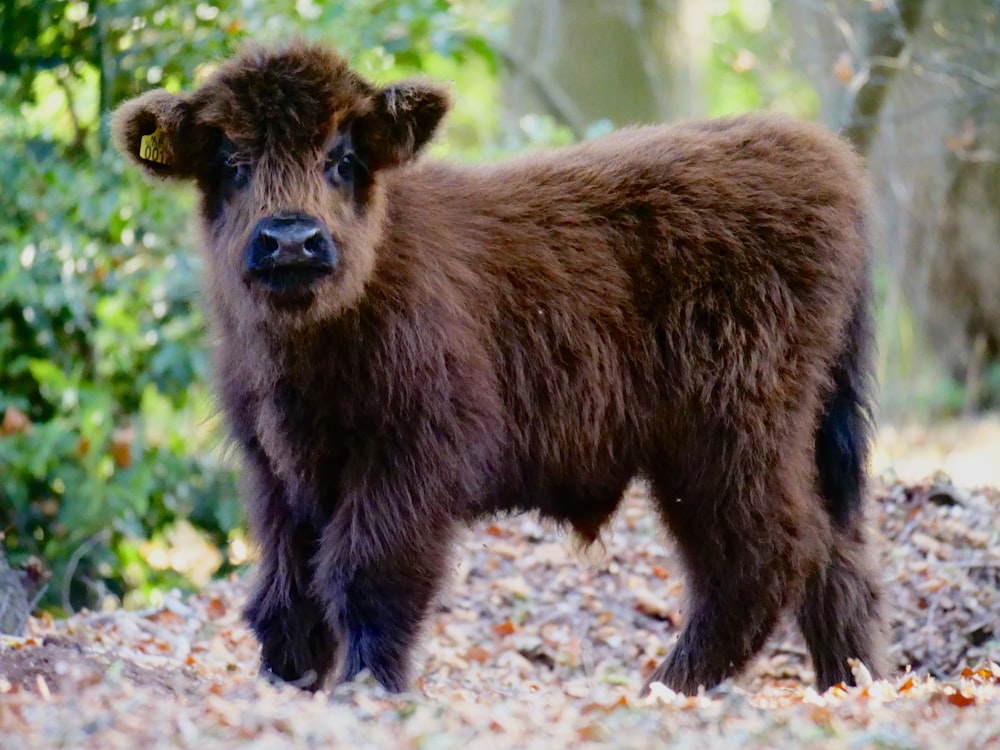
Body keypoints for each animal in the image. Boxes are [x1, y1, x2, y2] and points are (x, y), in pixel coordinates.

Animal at [113, 41, 888, 696]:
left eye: (343, 157)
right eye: (230, 161)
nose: (291, 241)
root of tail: (833, 166)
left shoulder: (408, 460)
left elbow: (366, 576)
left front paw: (367, 692)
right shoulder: (277, 471)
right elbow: (286, 592)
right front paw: (286, 686)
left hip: (727, 441)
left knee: (763, 559)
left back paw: (667, 688)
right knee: (838, 557)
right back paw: (850, 684)